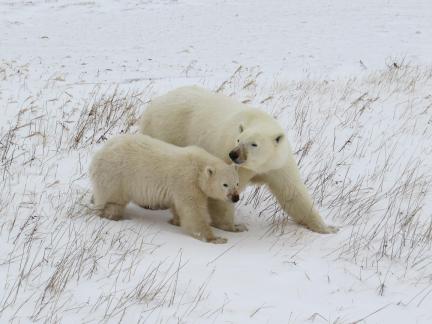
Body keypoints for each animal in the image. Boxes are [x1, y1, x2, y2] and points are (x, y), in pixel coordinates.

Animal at [138, 86, 338, 233]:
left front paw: (327, 228)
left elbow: (293, 193)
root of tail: (154, 103)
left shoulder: (278, 164)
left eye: (254, 144)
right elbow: (222, 189)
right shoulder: (230, 161)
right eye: (238, 139)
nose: (233, 154)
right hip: (166, 131)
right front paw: (233, 226)